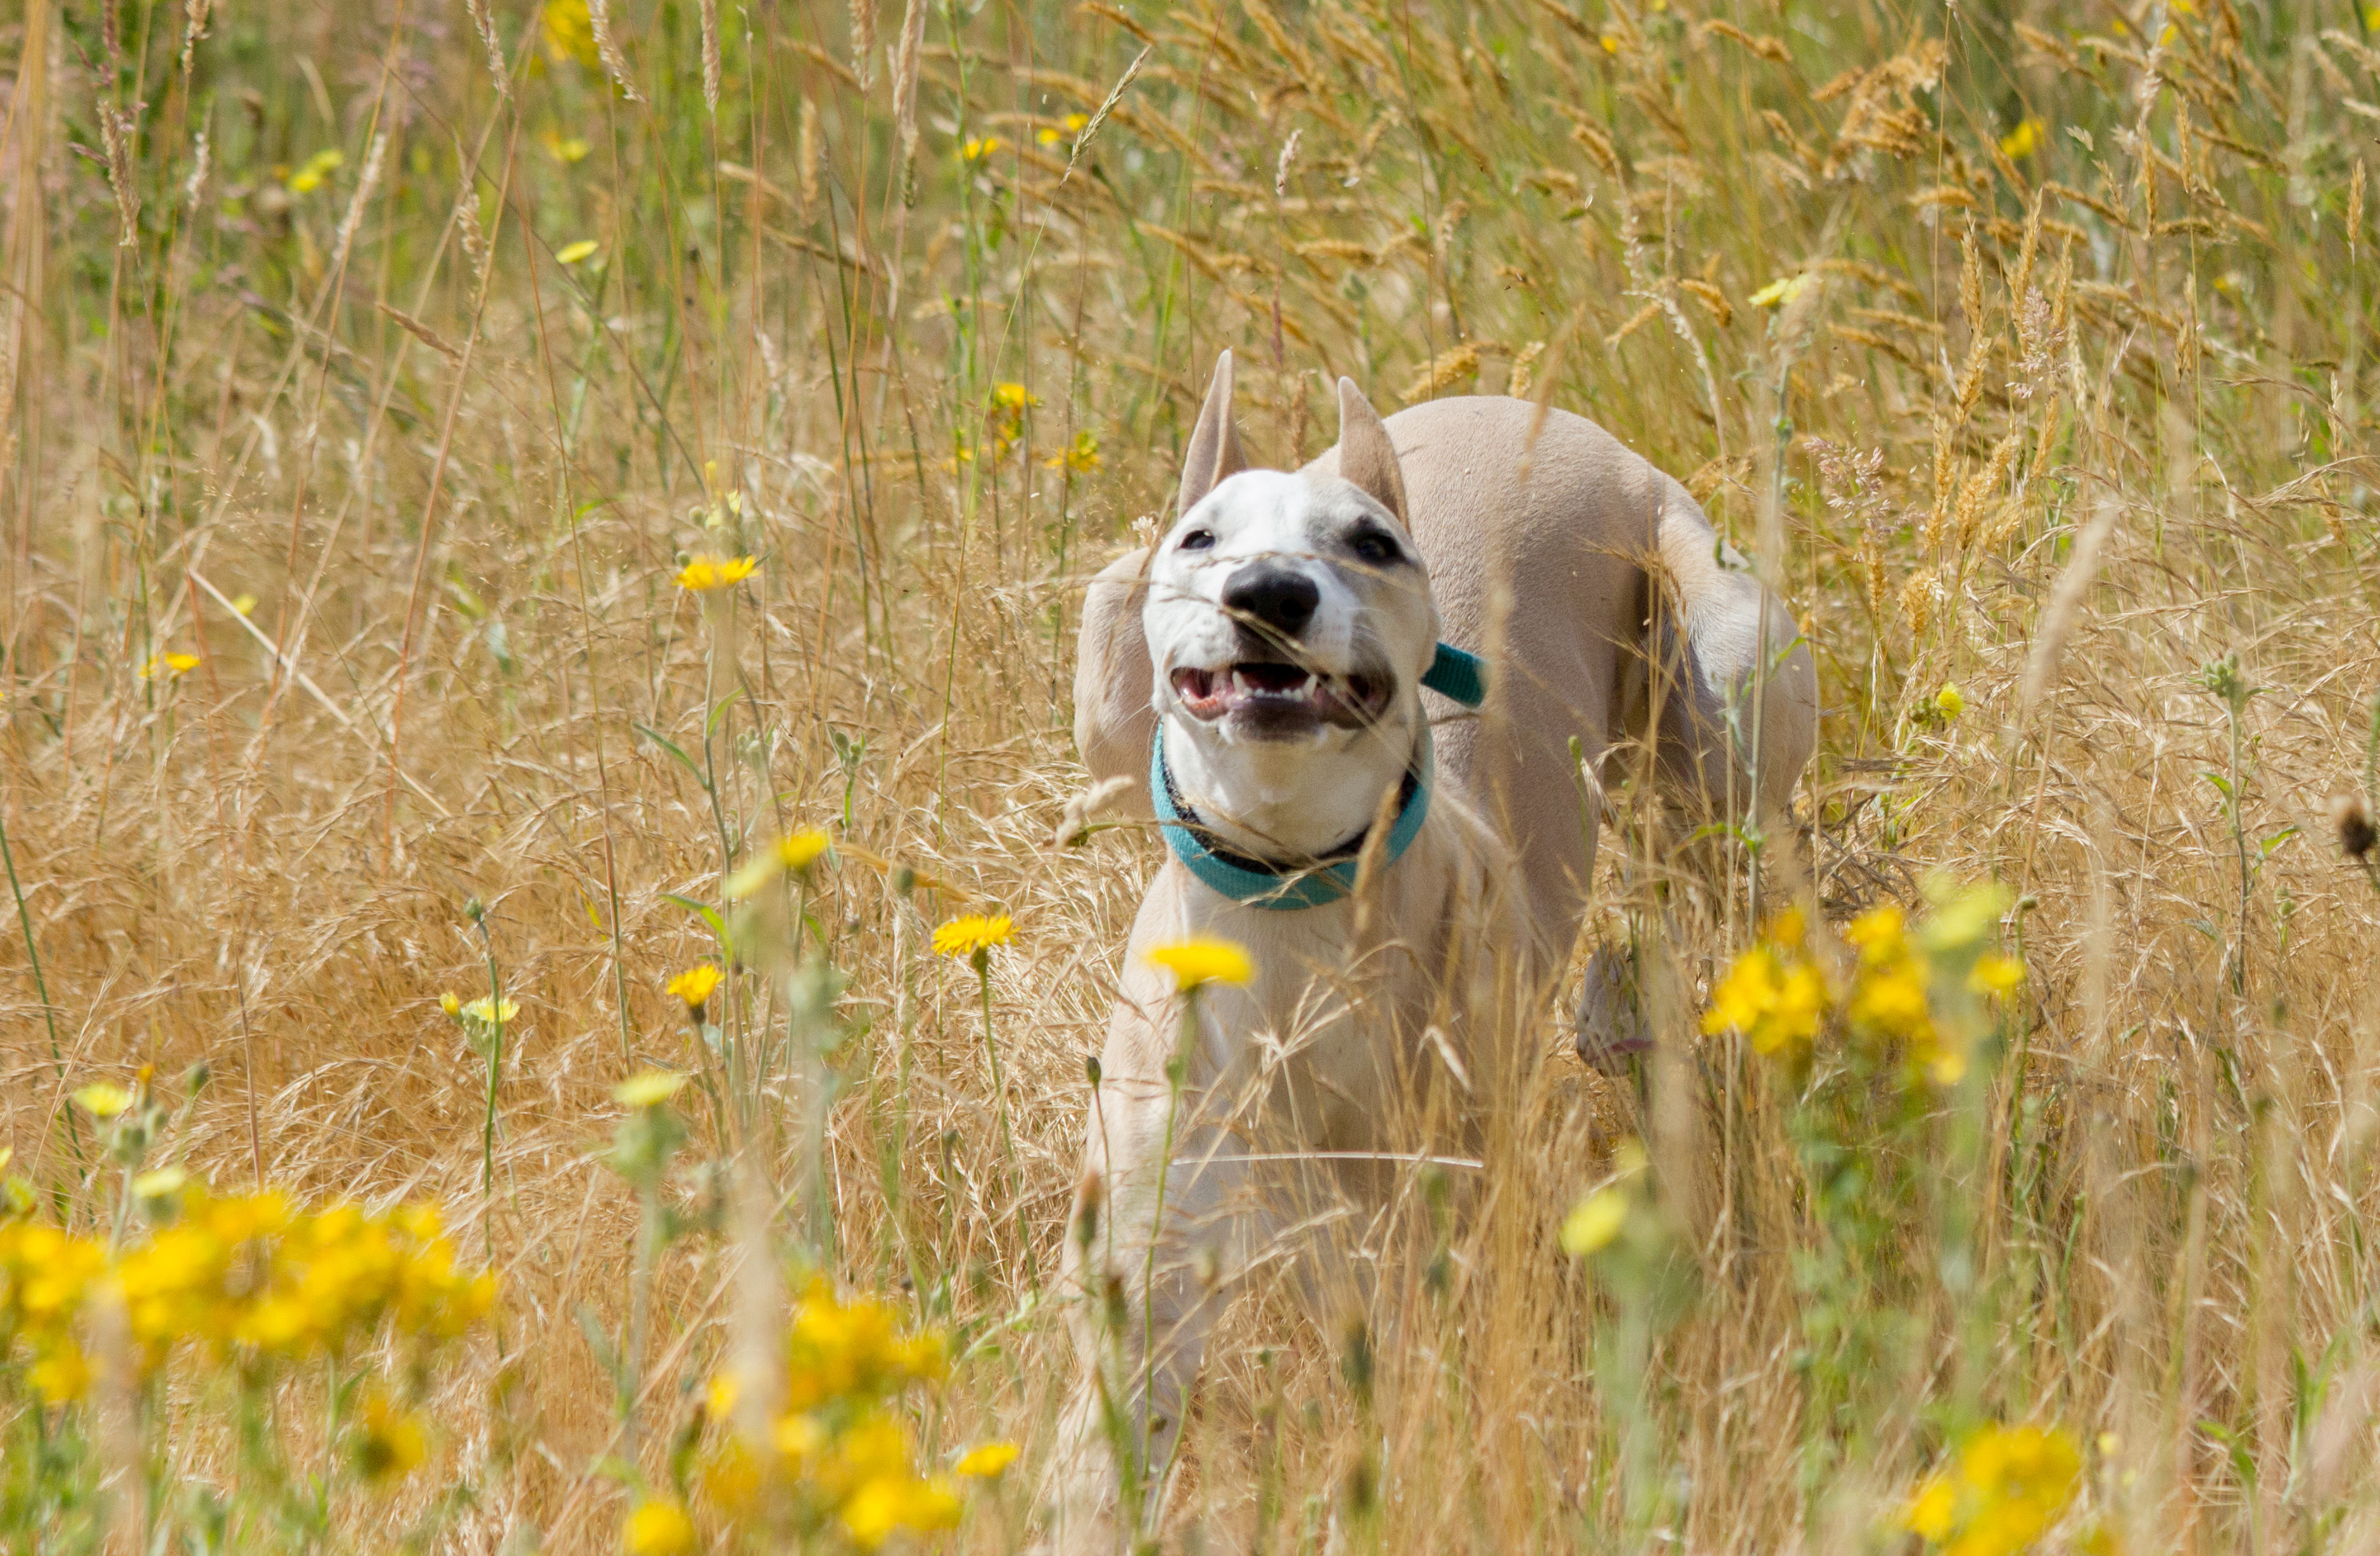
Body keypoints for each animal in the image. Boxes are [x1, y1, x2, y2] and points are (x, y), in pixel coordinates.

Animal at [1052, 354, 1809, 1551]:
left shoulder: (1435, 1253)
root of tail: (1529, 412)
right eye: (1202, 538)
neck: (1294, 911)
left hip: (1724, 718)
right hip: (1108, 660)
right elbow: (1100, 1460)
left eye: (1371, 542)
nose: (1269, 593)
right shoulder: (1145, 1259)